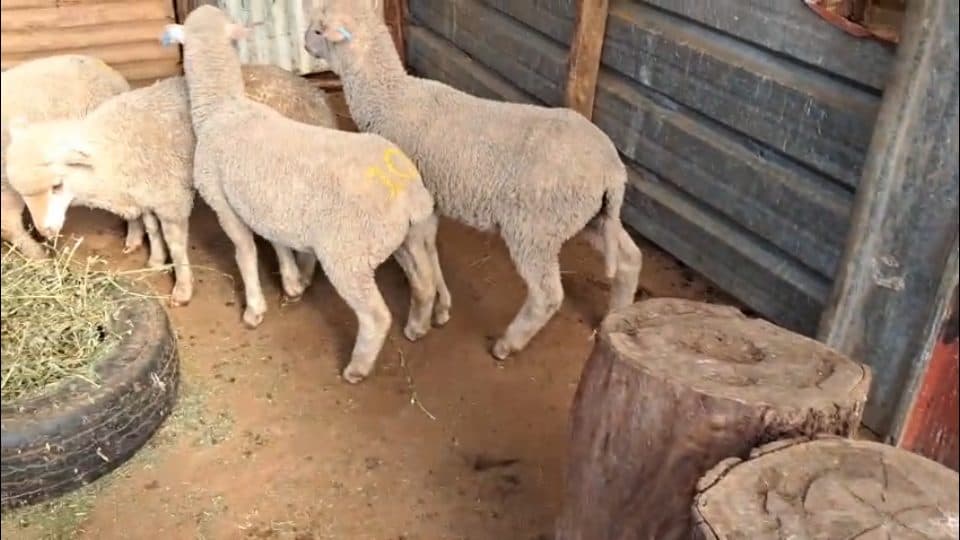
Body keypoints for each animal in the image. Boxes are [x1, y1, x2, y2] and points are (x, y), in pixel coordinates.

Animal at [162, 5, 450, 383]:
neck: (223, 108)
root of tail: (410, 192)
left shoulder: (223, 203)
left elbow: (245, 252)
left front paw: (254, 309)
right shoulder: (267, 207)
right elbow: (278, 243)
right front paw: (292, 282)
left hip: (348, 256)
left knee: (376, 316)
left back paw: (357, 368)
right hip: (408, 238)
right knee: (424, 283)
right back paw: (417, 327)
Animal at [303, 0, 643, 361]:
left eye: (319, 30)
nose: (305, 43)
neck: (390, 97)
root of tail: (612, 170)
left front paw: (422, 320)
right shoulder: (430, 200)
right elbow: (432, 250)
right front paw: (441, 307)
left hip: (535, 229)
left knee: (547, 295)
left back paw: (507, 344)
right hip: (592, 217)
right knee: (629, 259)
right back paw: (617, 316)